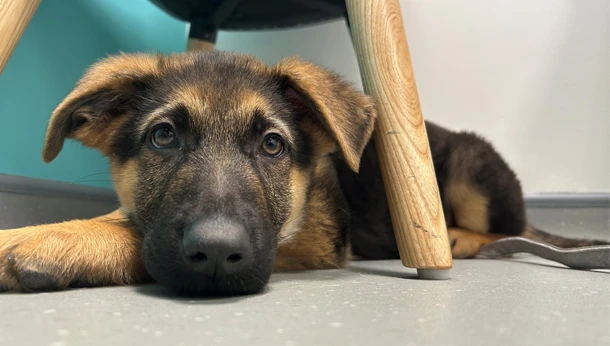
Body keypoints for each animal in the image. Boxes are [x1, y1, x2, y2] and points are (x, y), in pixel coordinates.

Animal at [0, 51, 604, 294]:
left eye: (273, 146)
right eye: (163, 136)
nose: (216, 253)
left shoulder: (309, 240)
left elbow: (126, 230)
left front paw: (53, 239)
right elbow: (130, 219)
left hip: (470, 167)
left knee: (505, 229)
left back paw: (460, 236)